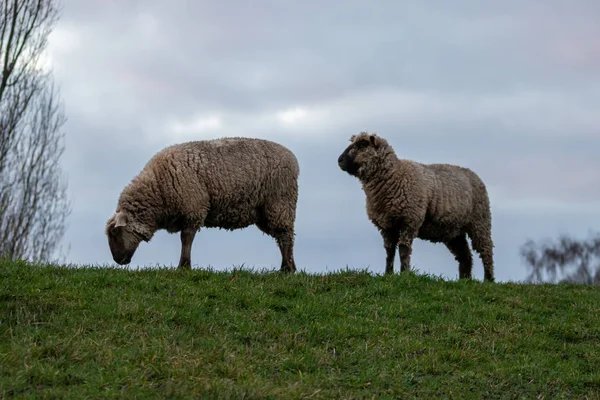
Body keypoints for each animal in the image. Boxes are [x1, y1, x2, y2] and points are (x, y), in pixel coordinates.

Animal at [105, 137, 300, 272]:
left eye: (114, 232)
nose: (118, 261)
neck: (158, 189)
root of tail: (292, 158)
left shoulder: (193, 209)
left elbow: (186, 239)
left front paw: (184, 266)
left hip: (280, 203)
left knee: (285, 236)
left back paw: (287, 268)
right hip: (266, 212)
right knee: (281, 236)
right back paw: (288, 267)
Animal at [338, 131, 496, 282]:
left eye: (363, 144)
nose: (339, 160)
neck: (396, 176)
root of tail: (473, 174)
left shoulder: (410, 220)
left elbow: (403, 248)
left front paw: (404, 274)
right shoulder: (386, 225)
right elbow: (389, 251)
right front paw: (388, 274)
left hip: (480, 222)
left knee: (486, 250)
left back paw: (488, 280)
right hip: (454, 231)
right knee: (465, 256)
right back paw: (464, 280)